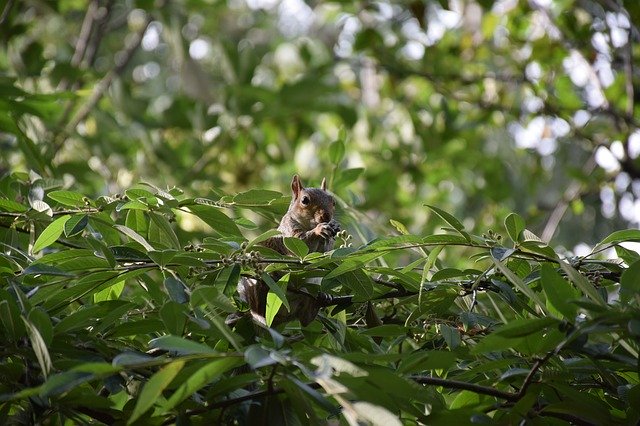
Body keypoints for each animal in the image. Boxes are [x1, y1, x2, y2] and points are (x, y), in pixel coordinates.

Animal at [237, 175, 340, 327]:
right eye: (305, 200)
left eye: (333, 201)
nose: (326, 216)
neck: (308, 224)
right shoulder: (289, 232)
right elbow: (304, 244)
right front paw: (319, 229)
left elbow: (323, 253)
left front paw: (334, 225)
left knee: (306, 319)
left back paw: (322, 297)